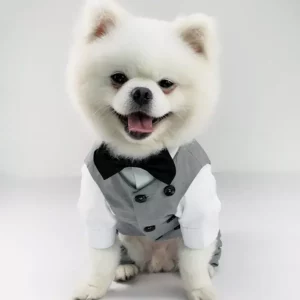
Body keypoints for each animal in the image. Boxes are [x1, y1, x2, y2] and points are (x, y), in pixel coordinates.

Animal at [67, 0, 220, 300]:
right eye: (118, 77)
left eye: (166, 84)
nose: (141, 92)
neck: (140, 158)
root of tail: (158, 261)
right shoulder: (98, 214)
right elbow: (101, 259)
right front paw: (93, 286)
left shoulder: (200, 212)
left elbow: (194, 259)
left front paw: (200, 288)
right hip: (128, 239)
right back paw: (124, 267)